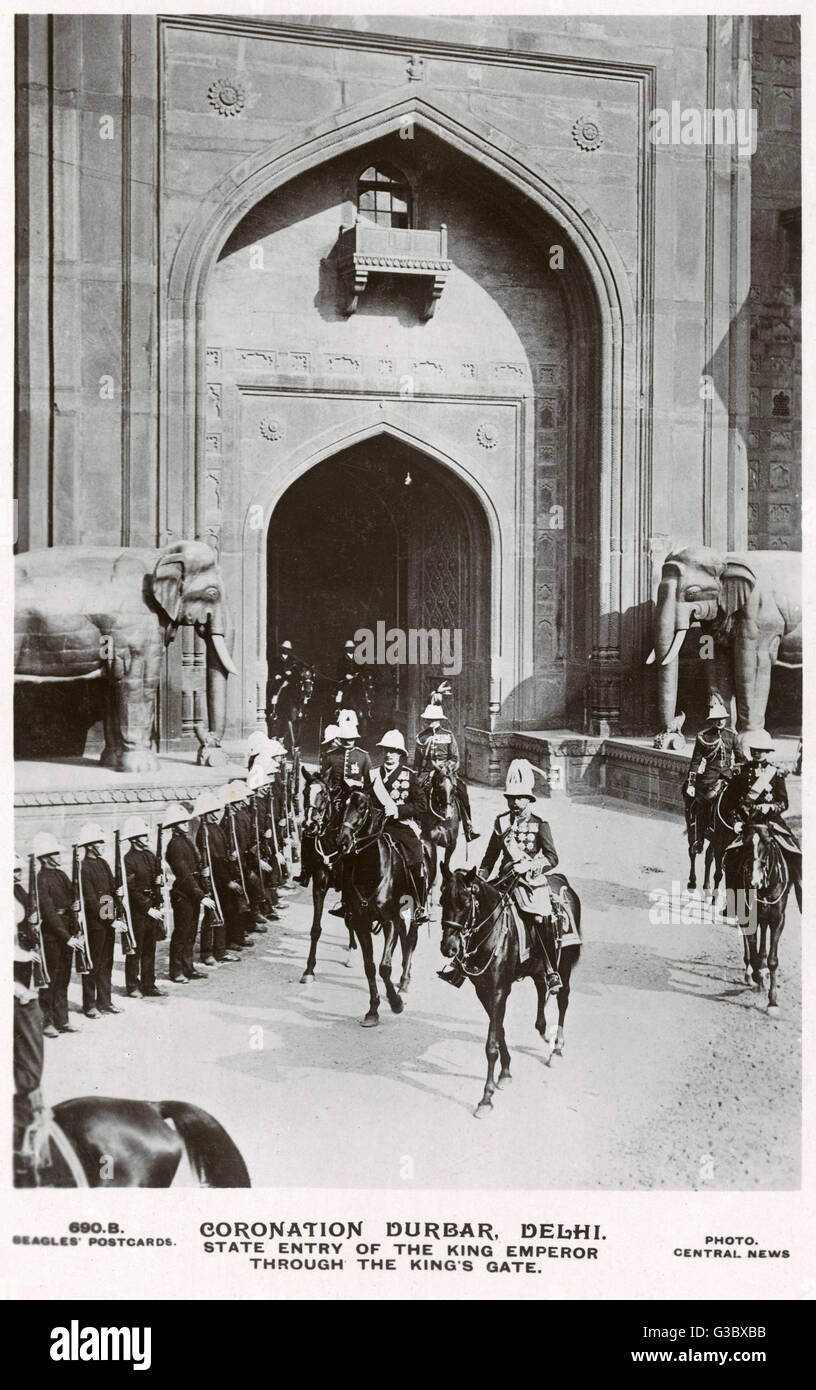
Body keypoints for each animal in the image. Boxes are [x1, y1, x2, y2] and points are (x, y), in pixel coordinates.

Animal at [297, 767, 354, 984]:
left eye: (323, 794)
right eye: (305, 792)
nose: (309, 825)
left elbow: (351, 919)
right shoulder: (319, 886)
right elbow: (315, 929)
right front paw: (309, 970)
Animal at [336, 795, 428, 1023]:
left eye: (362, 808)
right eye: (341, 804)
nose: (343, 841)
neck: (370, 870)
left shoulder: (389, 921)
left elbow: (384, 967)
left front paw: (396, 1003)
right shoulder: (361, 923)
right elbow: (370, 967)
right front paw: (373, 1010)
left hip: (415, 909)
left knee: (411, 938)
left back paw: (404, 981)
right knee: (404, 937)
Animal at [439, 867, 581, 1117]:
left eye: (465, 903)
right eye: (441, 900)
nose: (449, 948)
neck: (492, 931)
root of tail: (561, 880)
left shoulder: (499, 990)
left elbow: (491, 1044)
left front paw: (486, 1098)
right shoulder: (484, 991)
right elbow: (500, 1031)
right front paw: (505, 1073)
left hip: (564, 962)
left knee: (563, 999)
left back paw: (556, 1048)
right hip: (539, 965)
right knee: (541, 986)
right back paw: (542, 1028)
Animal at [722, 822, 795, 1011]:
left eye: (769, 843)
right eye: (746, 843)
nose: (755, 880)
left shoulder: (778, 919)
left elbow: (773, 960)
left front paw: (773, 1001)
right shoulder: (748, 916)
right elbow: (752, 949)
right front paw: (756, 975)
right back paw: (751, 972)